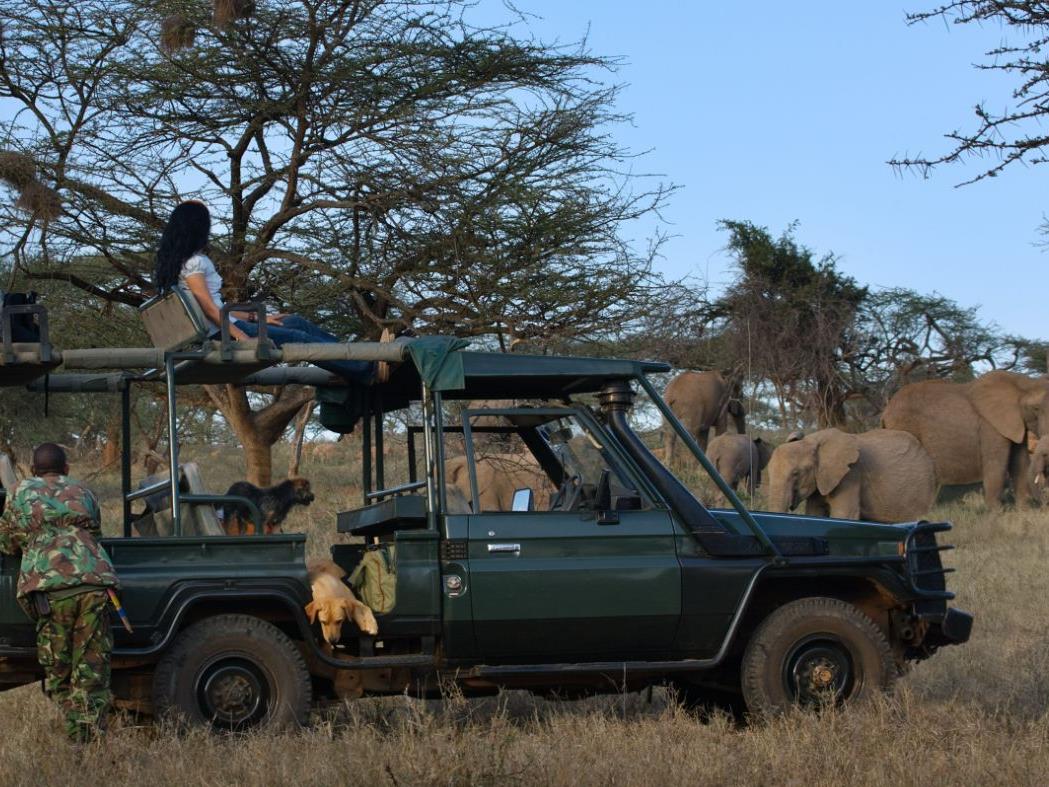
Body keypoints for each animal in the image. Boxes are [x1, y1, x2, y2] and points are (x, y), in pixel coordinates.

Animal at [766, 428, 937, 523]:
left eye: (796, 473)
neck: (813, 440)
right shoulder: (821, 478)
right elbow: (815, 512)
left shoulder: (851, 474)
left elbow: (844, 515)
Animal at [881, 370, 1049, 507]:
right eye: (1035, 409)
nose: (1042, 503)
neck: (1024, 382)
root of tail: (885, 411)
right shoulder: (989, 426)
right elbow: (996, 464)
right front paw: (996, 515)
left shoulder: (1016, 424)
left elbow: (1019, 462)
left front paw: (1023, 512)